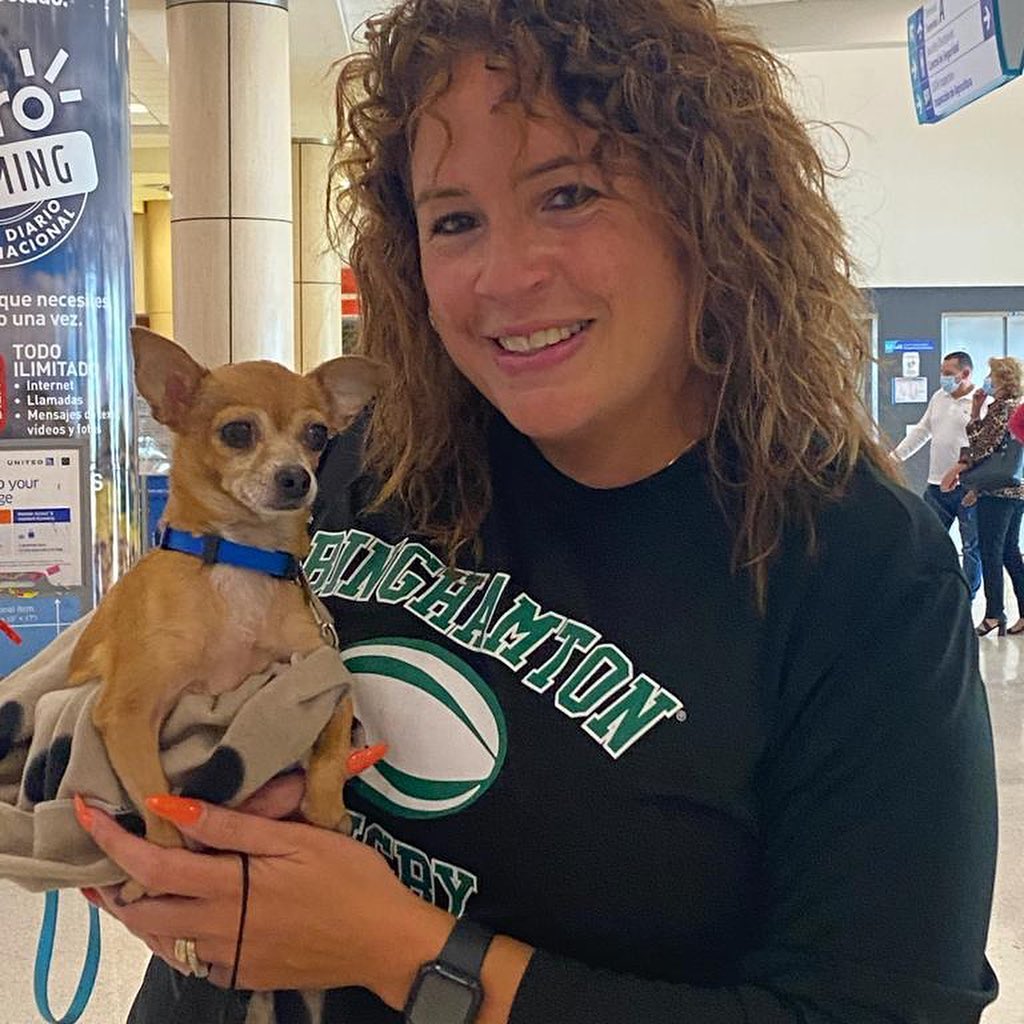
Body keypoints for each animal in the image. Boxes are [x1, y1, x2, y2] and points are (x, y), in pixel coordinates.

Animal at [68, 327, 382, 872]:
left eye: (317, 435)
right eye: (237, 432)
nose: (297, 476)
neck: (243, 557)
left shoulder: (321, 669)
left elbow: (333, 742)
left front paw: (326, 812)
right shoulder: (127, 713)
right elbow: (158, 805)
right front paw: (165, 868)